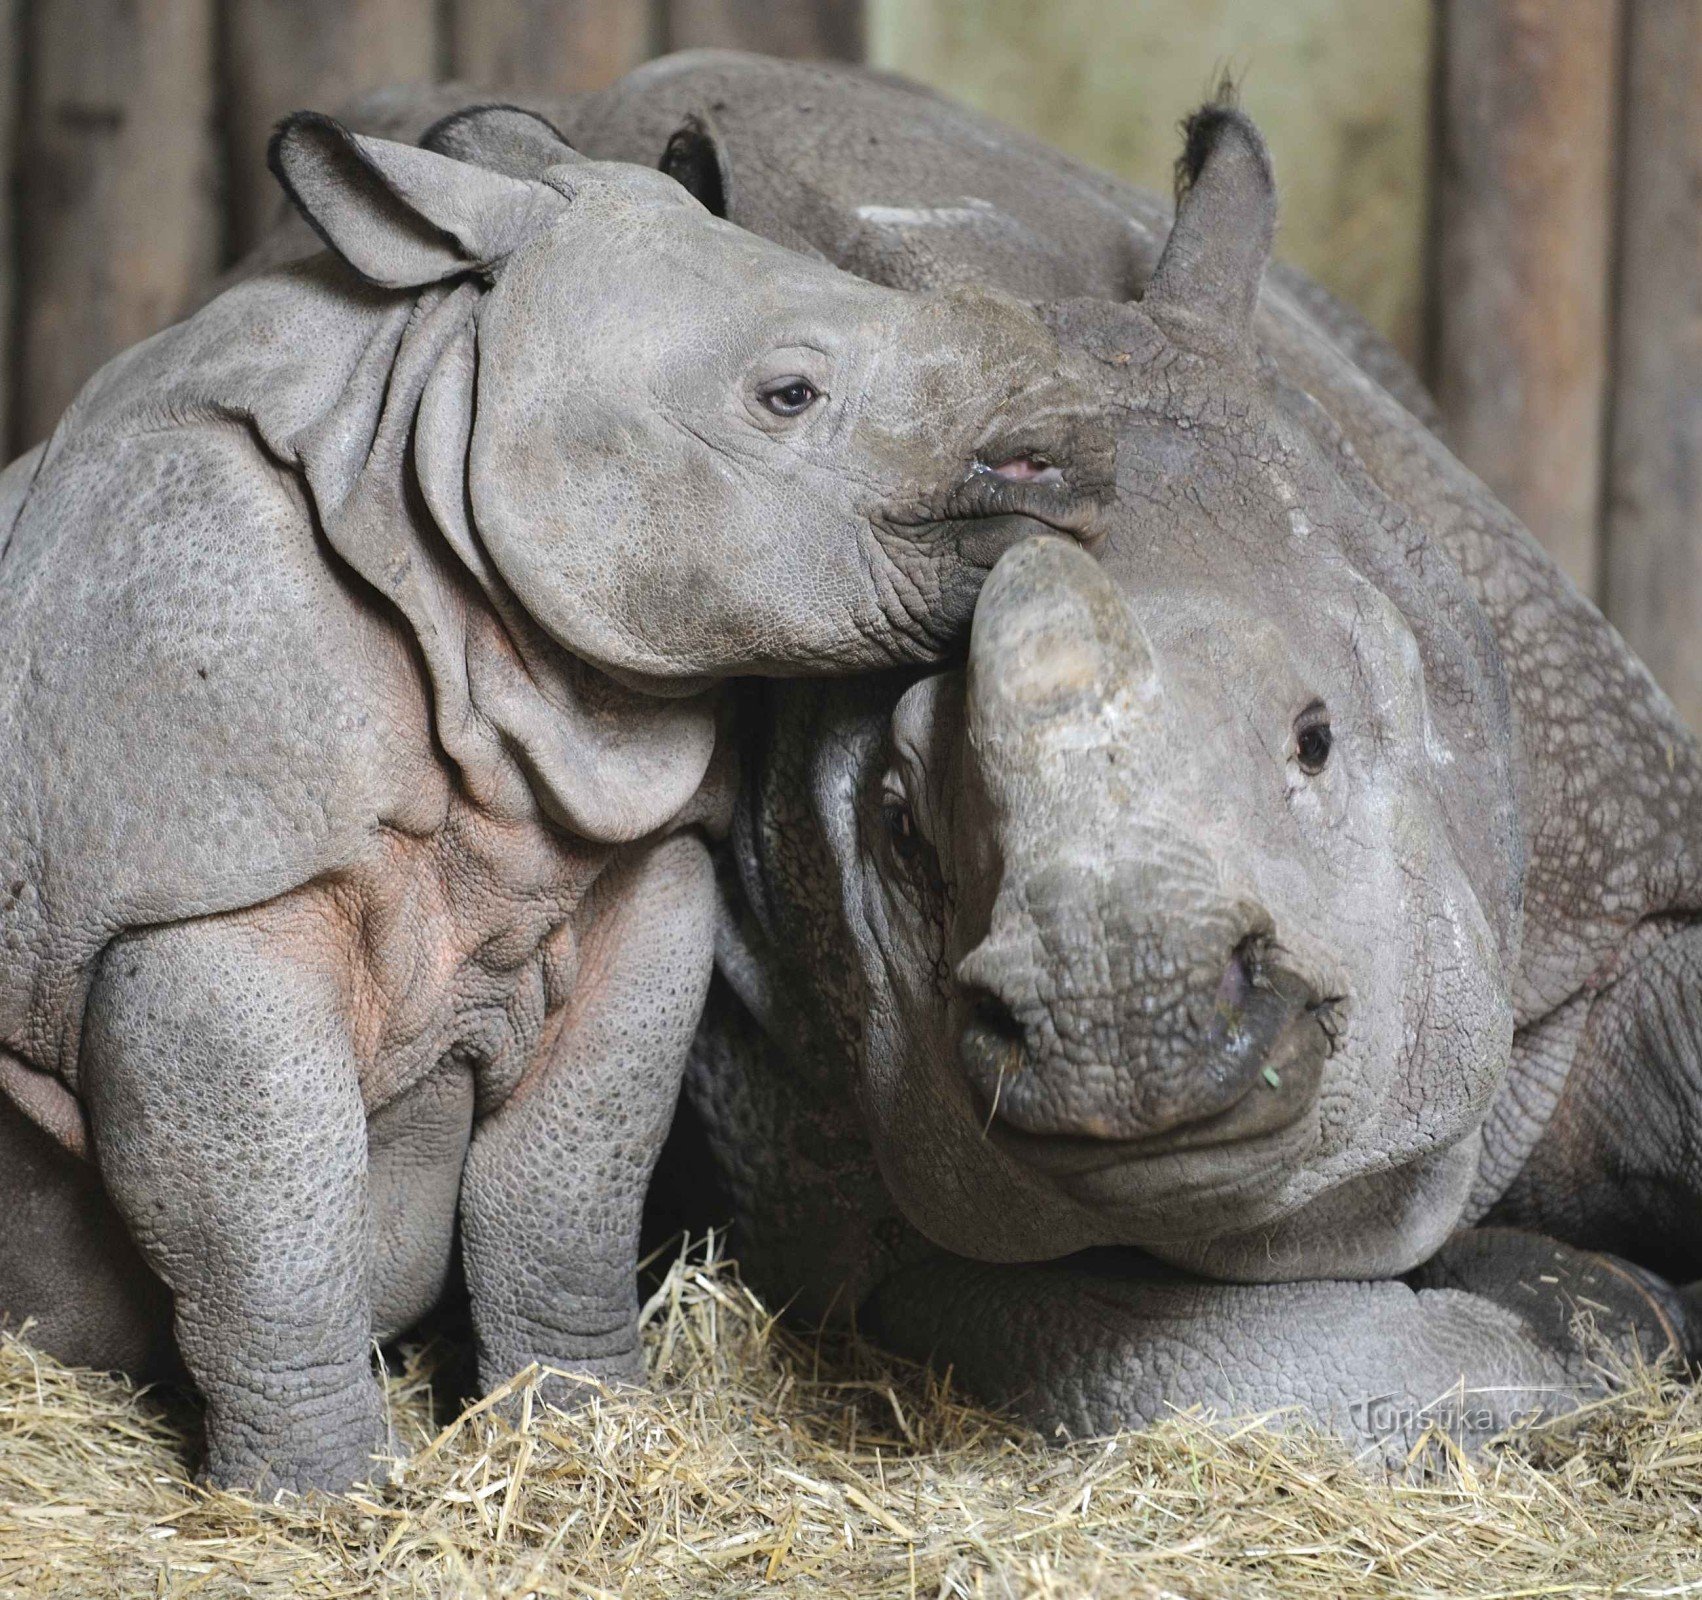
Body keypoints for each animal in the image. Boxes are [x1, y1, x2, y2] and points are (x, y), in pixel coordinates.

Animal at [0, 106, 1109, 1491]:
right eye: (787, 394)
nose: (1067, 461)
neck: (426, 427)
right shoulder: (199, 886)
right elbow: (266, 1207)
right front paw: (323, 1494)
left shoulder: (638, 855)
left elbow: (573, 1175)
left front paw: (583, 1428)